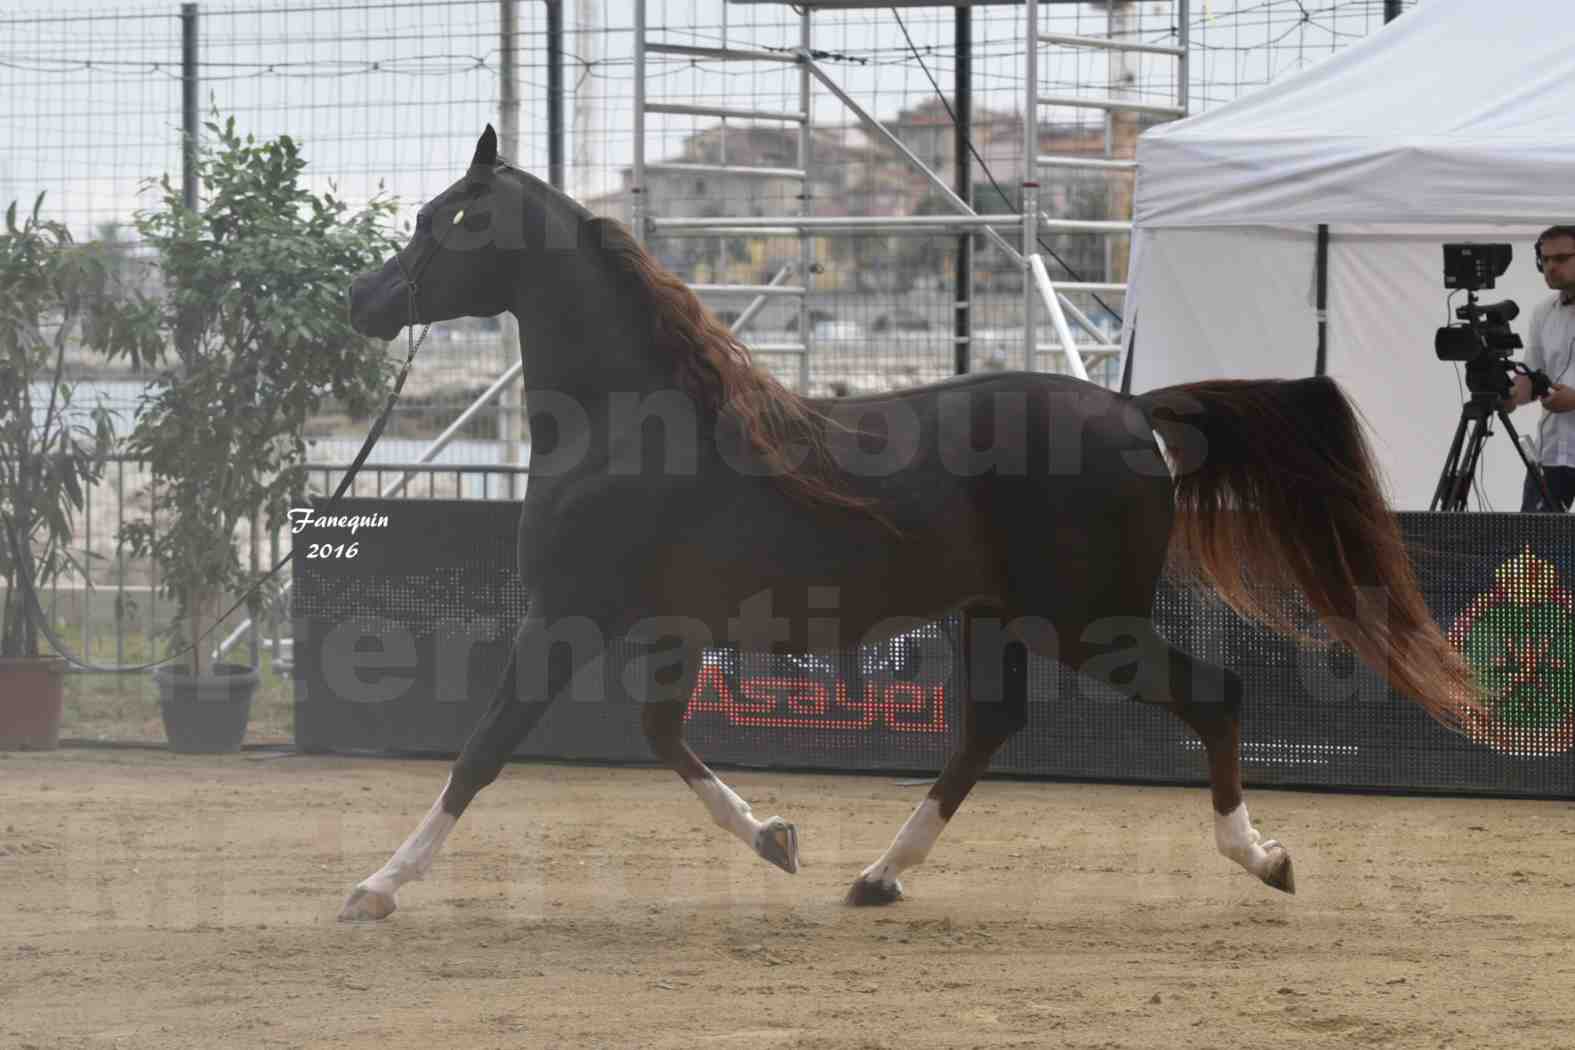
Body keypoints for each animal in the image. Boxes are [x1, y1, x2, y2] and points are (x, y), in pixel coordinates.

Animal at [338, 127, 1480, 919]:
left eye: (442, 222)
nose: (361, 301)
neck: (635, 422)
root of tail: (1134, 412)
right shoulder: (670, 630)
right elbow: (661, 736)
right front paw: (779, 839)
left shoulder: (567, 616)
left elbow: (483, 750)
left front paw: (375, 888)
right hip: (996, 617)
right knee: (987, 731)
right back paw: (878, 877)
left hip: (1090, 623)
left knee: (1213, 695)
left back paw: (1264, 858)